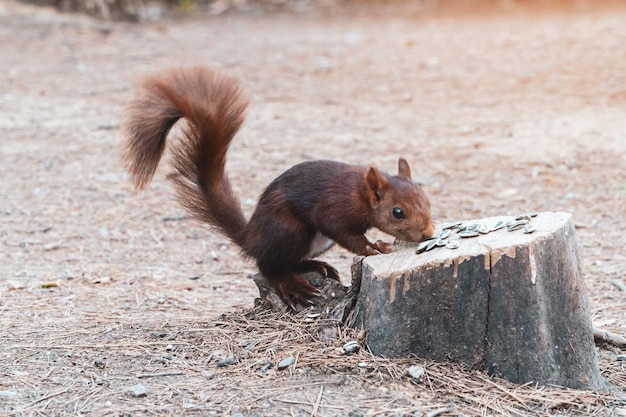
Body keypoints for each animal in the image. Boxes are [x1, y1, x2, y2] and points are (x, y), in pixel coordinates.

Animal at [122, 66, 434, 308]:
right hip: (287, 229)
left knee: (288, 261)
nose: (429, 233)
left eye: (428, 201)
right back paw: (290, 283)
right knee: (267, 266)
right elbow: (344, 232)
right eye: (397, 212)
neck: (359, 194)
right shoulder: (334, 207)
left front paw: (380, 243)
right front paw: (372, 247)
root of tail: (251, 237)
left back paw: (315, 266)